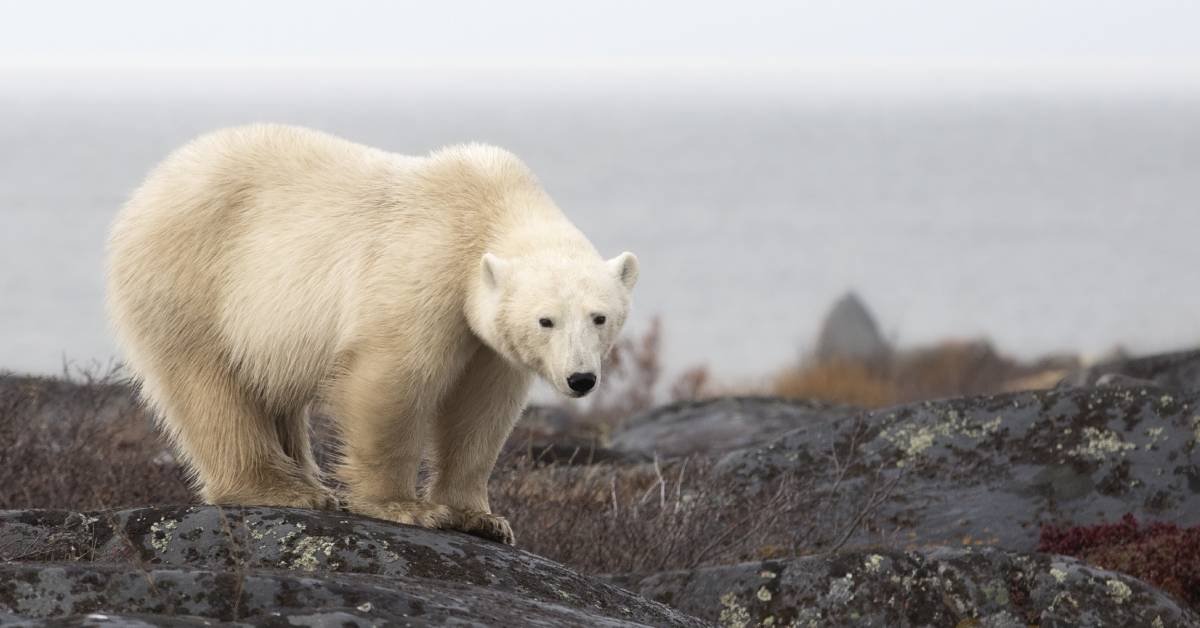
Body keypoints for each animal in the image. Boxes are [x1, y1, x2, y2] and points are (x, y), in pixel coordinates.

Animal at [105, 124, 638, 545]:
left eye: (599, 317)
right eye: (546, 320)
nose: (581, 379)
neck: (489, 204)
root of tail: (151, 186)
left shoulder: (489, 343)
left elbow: (481, 410)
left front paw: (482, 518)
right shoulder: (425, 268)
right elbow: (394, 380)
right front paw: (406, 508)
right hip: (191, 279)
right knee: (211, 388)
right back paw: (285, 490)